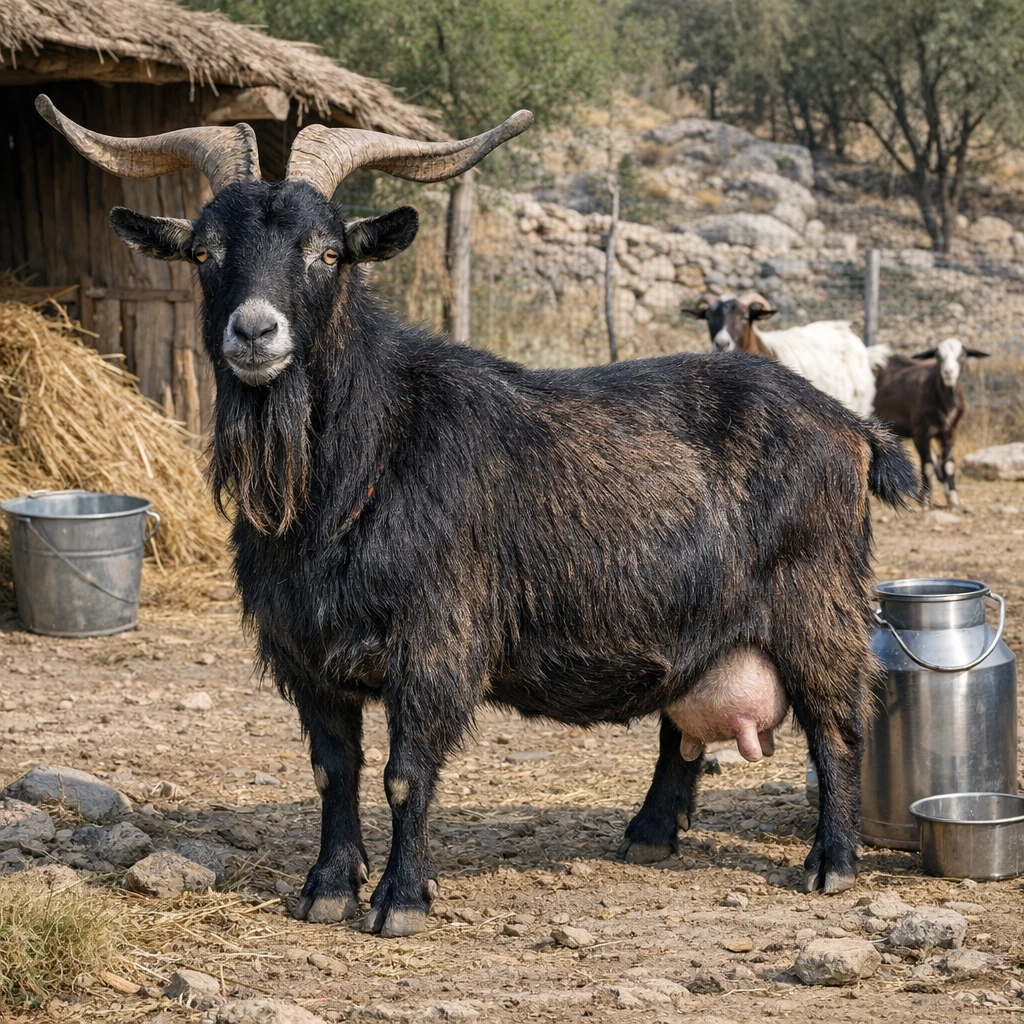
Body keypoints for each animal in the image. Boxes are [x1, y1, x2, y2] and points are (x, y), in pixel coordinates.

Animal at [872, 338, 989, 507]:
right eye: (938, 356)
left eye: (962, 356)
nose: (948, 372)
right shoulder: (920, 432)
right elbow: (927, 465)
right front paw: (925, 499)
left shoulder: (951, 432)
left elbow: (949, 464)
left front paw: (952, 496)